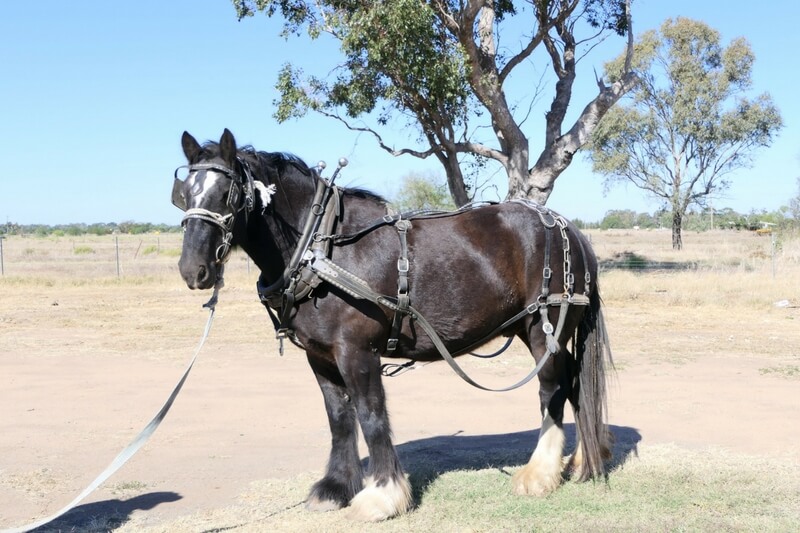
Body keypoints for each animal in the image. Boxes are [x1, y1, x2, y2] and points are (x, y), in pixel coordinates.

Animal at [175, 129, 612, 520]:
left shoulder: (357, 353)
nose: (193, 269)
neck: (323, 246)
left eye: (228, 194)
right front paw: (336, 487)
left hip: (543, 330)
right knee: (574, 384)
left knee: (552, 390)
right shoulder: (321, 357)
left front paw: (382, 496)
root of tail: (572, 231)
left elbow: (370, 416)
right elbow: (339, 419)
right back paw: (580, 460)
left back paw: (539, 473)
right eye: (184, 195)